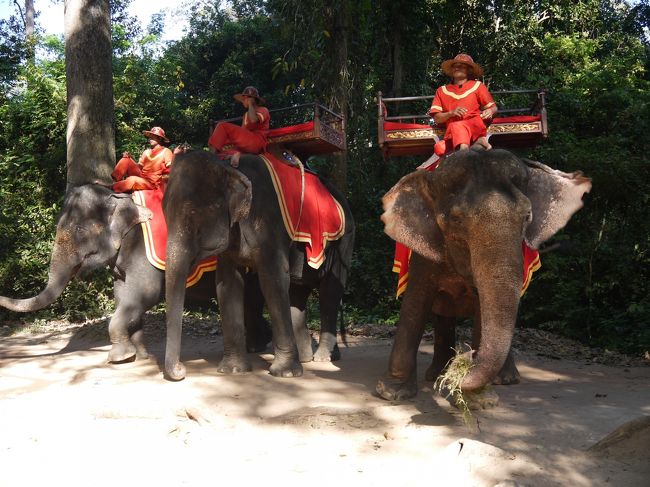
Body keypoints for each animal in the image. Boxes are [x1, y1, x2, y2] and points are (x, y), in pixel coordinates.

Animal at [162, 151, 354, 384]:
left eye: (193, 214)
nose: (181, 371)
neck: (229, 167)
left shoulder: (270, 225)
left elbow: (273, 279)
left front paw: (285, 373)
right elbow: (227, 284)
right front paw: (233, 370)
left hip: (344, 240)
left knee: (329, 292)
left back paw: (324, 358)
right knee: (297, 293)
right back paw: (307, 358)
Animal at [374, 149, 592, 400]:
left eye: (527, 216)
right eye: (456, 220)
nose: (467, 356)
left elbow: (482, 307)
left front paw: (478, 394)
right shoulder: (424, 252)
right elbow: (415, 304)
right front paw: (391, 393)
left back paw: (504, 379)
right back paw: (437, 375)